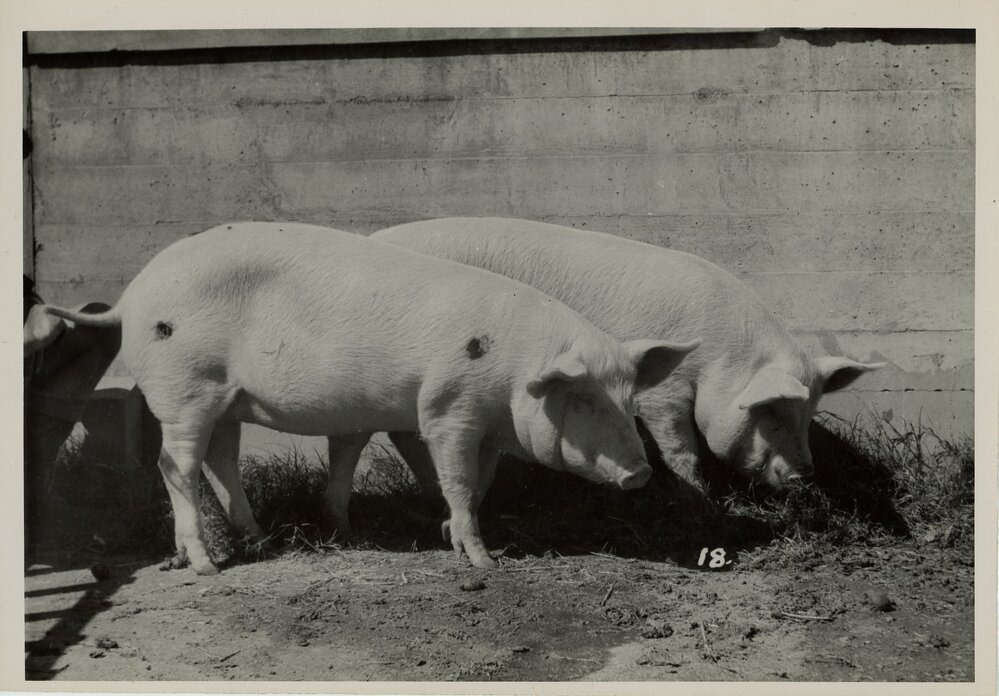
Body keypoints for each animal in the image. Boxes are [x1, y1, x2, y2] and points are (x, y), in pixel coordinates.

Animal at [44, 222, 698, 574]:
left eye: (627, 398)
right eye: (583, 400)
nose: (641, 473)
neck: (515, 372)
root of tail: (130, 297)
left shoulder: (483, 426)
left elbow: (478, 481)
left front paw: (445, 532)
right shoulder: (447, 408)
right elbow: (458, 478)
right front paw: (483, 560)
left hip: (224, 397)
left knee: (220, 459)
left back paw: (262, 541)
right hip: (184, 387)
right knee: (174, 464)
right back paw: (206, 565)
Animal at [371, 217, 885, 490]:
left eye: (811, 411)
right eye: (772, 409)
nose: (805, 475)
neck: (722, 357)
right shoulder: (664, 393)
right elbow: (680, 446)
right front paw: (701, 494)